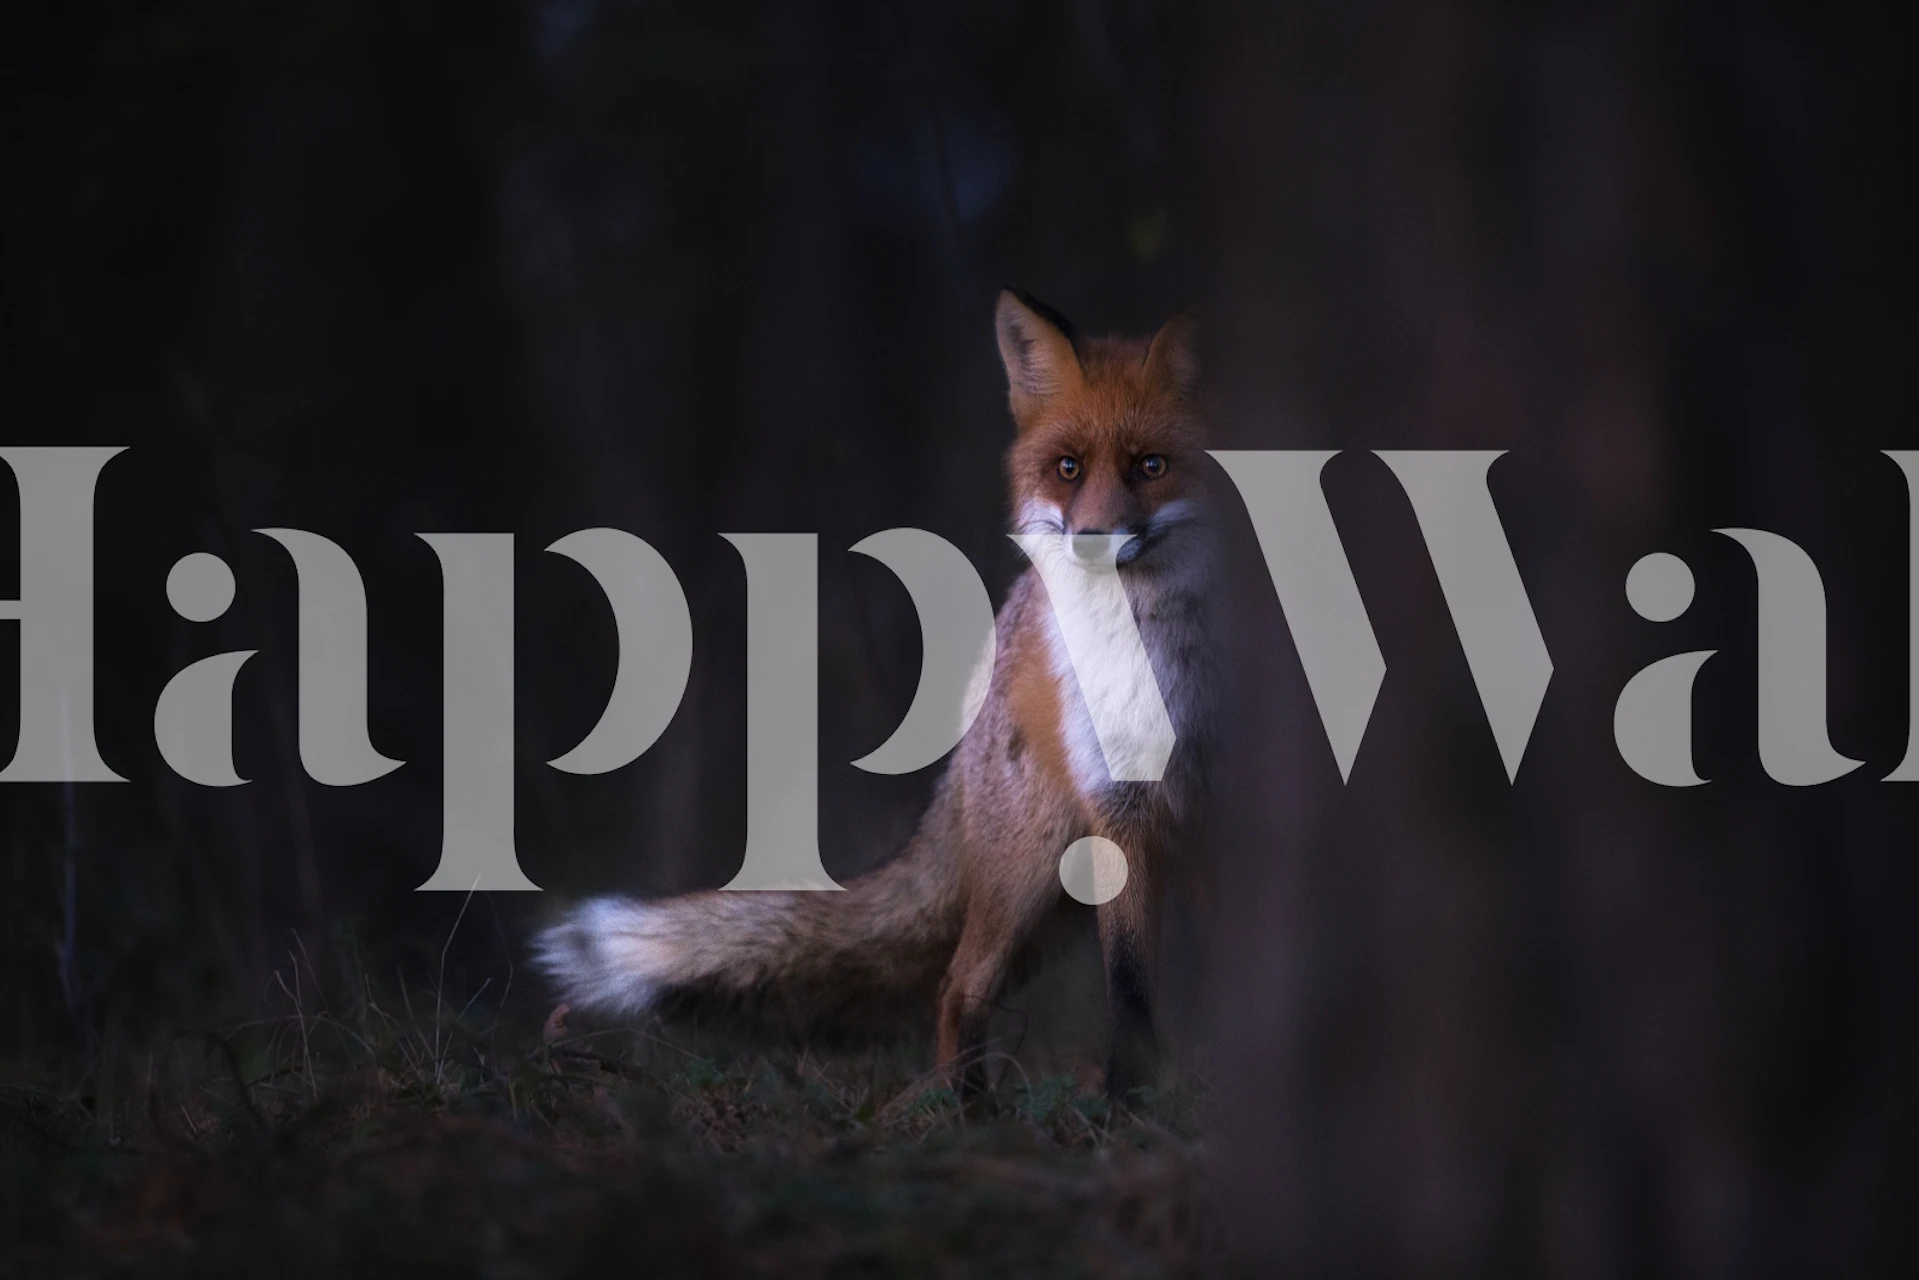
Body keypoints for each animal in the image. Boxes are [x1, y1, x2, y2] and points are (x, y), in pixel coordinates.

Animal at [534, 290, 1214, 1096]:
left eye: (1152, 466)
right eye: (1068, 469)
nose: (1091, 543)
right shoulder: (1125, 810)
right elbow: (1131, 996)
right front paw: (1127, 1106)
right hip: (1031, 863)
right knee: (956, 986)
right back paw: (962, 1110)